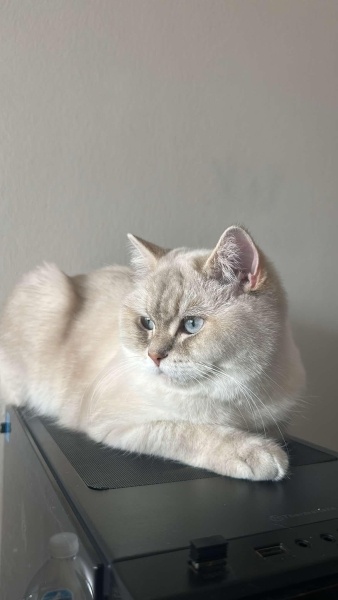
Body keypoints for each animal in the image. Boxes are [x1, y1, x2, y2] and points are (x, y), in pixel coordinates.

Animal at [0, 227, 304, 480]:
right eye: (147, 323)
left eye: (191, 325)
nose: (154, 356)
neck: (235, 398)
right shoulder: (117, 422)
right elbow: (191, 430)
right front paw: (259, 454)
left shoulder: (278, 422)